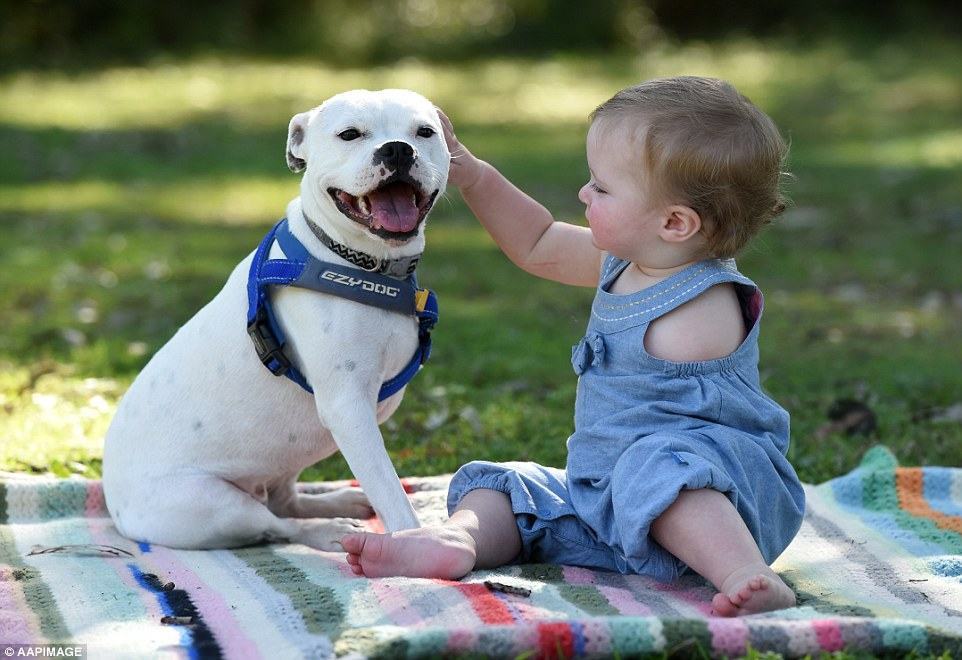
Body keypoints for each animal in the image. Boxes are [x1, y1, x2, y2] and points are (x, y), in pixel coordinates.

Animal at [103, 89, 448, 552]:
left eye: (424, 132)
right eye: (350, 134)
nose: (397, 149)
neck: (362, 264)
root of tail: (113, 504)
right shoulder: (348, 410)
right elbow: (391, 492)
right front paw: (418, 543)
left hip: (286, 455)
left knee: (285, 502)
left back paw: (338, 503)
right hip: (213, 506)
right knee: (278, 525)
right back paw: (332, 532)